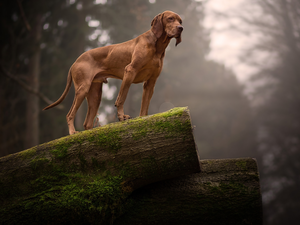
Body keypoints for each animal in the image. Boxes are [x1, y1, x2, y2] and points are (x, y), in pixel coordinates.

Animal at [43, 11, 182, 134]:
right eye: (170, 19)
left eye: (180, 21)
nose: (181, 28)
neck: (157, 45)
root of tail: (75, 62)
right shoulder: (130, 71)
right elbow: (121, 98)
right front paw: (122, 117)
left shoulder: (150, 82)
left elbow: (145, 105)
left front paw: (142, 119)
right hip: (83, 88)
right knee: (69, 114)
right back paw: (72, 132)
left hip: (95, 95)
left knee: (87, 123)